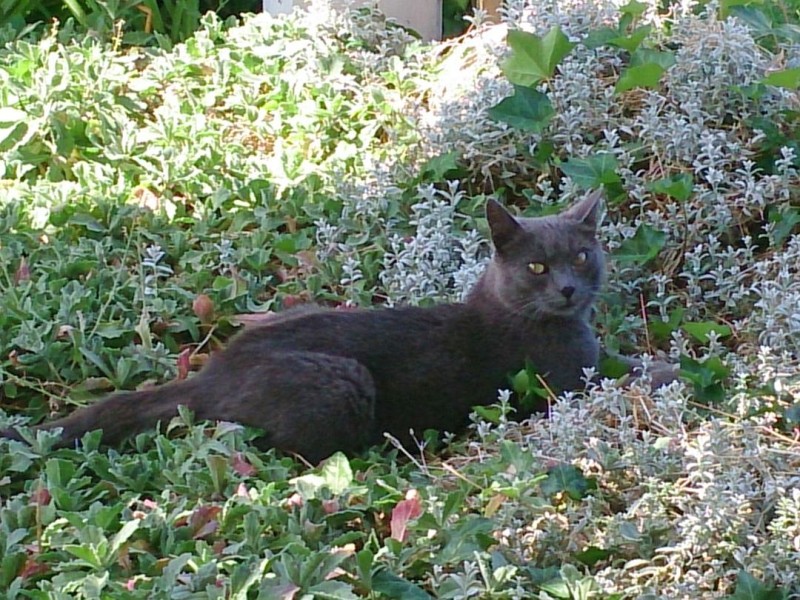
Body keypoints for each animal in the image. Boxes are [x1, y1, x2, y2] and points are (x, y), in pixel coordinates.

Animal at [3, 190, 608, 462]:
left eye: (581, 257)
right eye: (537, 267)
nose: (567, 289)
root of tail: (211, 374)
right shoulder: (568, 378)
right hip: (342, 380)